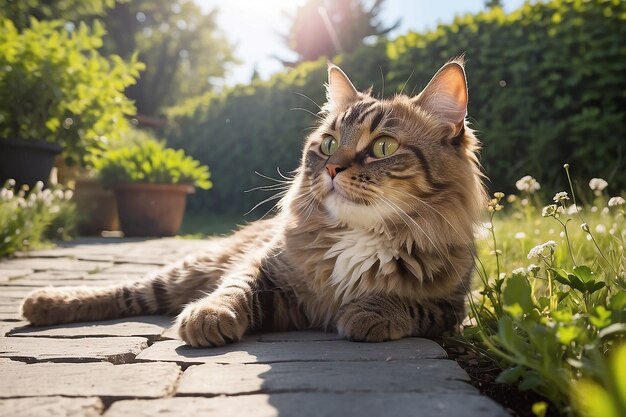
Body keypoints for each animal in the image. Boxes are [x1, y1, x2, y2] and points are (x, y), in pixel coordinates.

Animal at [18, 57, 482, 344]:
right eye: (328, 145)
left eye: (383, 147)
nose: (332, 170)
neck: (359, 235)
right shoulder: (267, 268)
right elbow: (234, 288)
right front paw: (208, 315)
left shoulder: (450, 308)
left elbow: (406, 303)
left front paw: (366, 313)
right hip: (187, 270)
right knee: (131, 291)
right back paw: (44, 302)